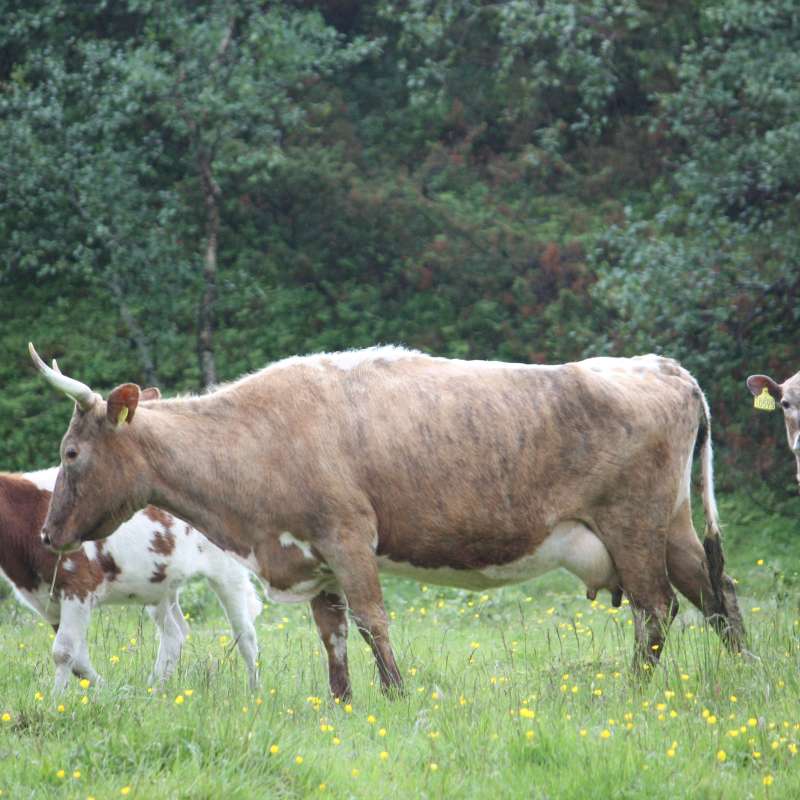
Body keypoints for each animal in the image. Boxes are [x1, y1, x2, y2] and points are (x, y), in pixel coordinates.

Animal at [0, 468, 260, 688]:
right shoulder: (49, 599)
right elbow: (78, 661)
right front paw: (106, 691)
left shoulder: (79, 587)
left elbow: (63, 652)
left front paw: (56, 702)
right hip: (161, 585)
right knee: (174, 634)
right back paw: (153, 690)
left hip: (227, 571)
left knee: (245, 634)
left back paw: (254, 691)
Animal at [29, 344, 744, 700]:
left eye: (70, 453)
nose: (45, 535)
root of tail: (661, 366)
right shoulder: (315, 561)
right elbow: (334, 635)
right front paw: (342, 705)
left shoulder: (348, 537)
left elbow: (373, 622)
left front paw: (396, 696)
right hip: (674, 527)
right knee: (716, 596)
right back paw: (748, 674)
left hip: (633, 525)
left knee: (656, 609)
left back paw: (634, 693)